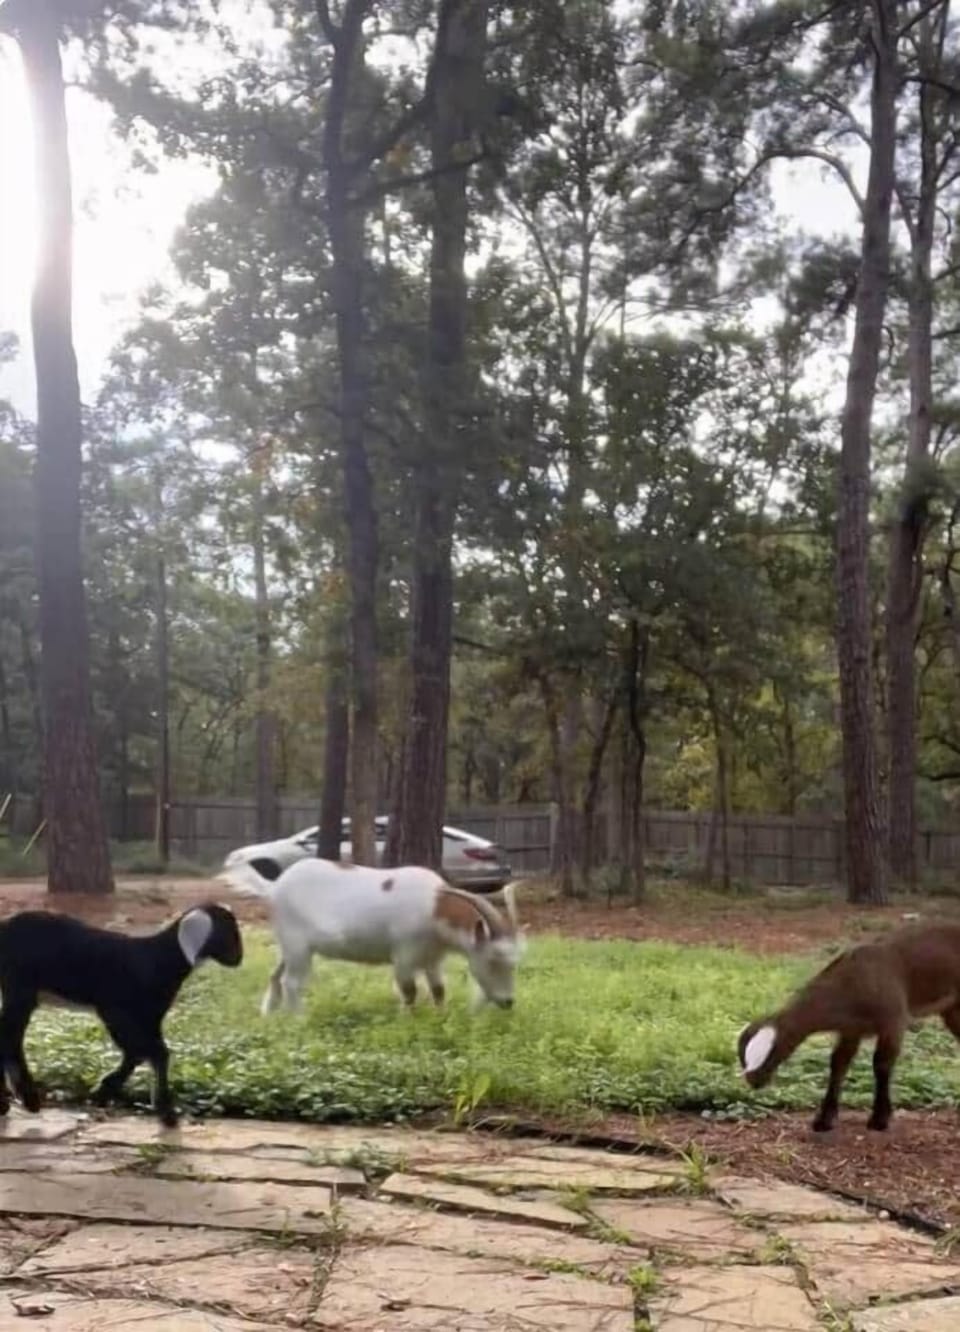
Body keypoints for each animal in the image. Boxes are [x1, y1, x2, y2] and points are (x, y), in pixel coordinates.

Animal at [0, 903, 242, 1127]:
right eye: (228, 932)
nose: (239, 958)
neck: (158, 957)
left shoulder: (150, 1018)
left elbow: (152, 1053)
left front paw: (109, 1090)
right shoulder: (115, 1010)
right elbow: (149, 1051)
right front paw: (162, 1110)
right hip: (21, 986)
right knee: (10, 1035)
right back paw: (26, 1097)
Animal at [217, 856, 525, 1012]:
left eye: (515, 963)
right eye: (493, 959)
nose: (508, 1002)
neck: (435, 905)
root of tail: (274, 887)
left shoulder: (432, 959)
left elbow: (439, 990)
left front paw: (440, 1019)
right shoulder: (404, 955)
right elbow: (409, 991)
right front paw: (407, 1022)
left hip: (287, 944)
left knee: (276, 975)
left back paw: (271, 1014)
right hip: (297, 944)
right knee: (292, 982)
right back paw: (298, 1021)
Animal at [737, 920, 960, 1133]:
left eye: (776, 1048)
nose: (753, 1080)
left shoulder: (893, 1020)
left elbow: (881, 1064)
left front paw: (879, 1120)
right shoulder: (851, 1029)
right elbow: (838, 1063)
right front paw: (824, 1120)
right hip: (952, 1009)